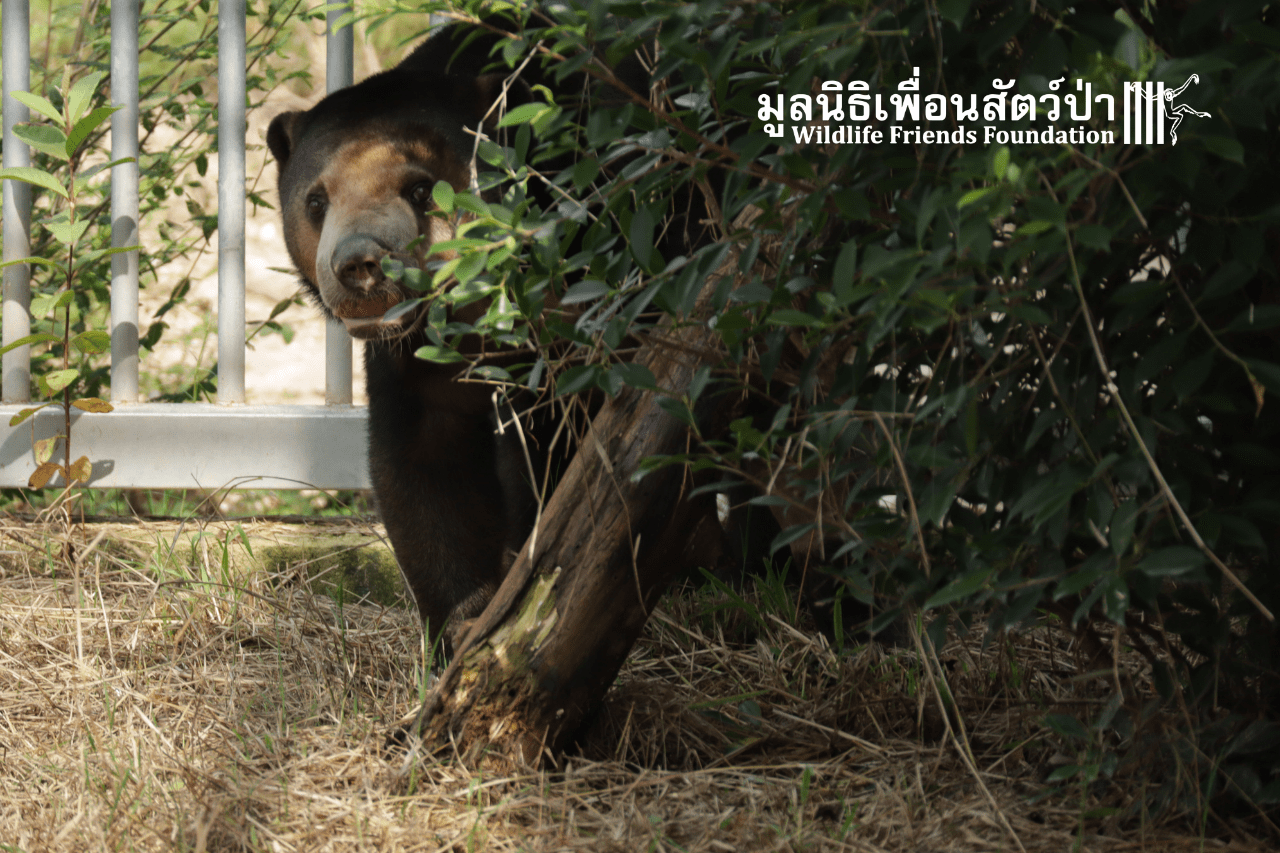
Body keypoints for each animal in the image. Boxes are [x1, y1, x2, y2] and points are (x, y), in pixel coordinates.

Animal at [266, 21, 547, 644]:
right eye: (316, 200)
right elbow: (422, 464)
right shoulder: (412, 360)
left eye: (421, 190)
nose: (359, 265)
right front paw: (464, 619)